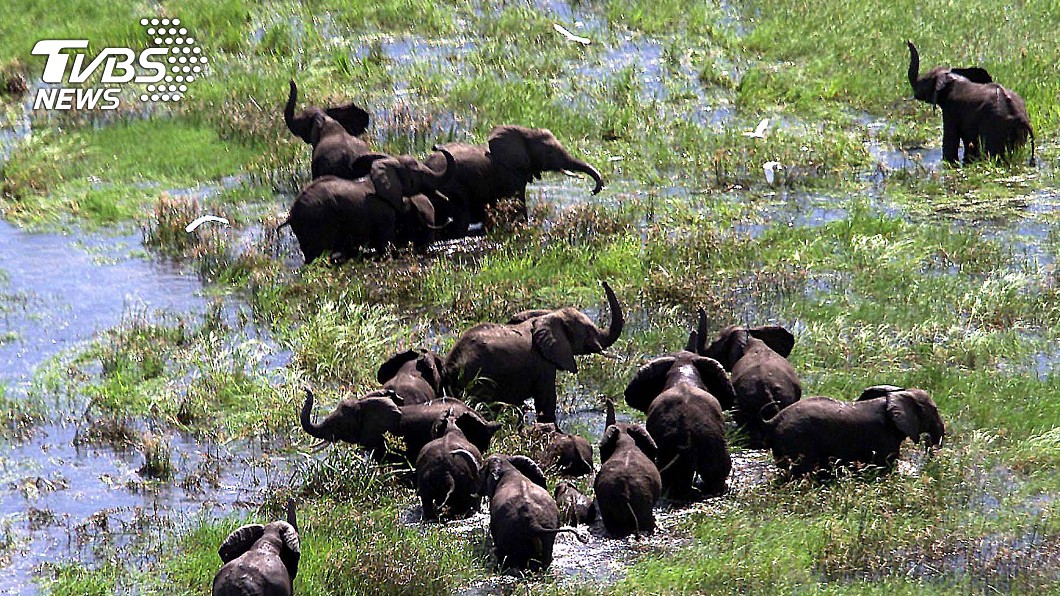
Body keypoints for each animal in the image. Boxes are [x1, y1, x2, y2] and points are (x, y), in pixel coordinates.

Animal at [277, 148, 454, 264]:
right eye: (419, 175)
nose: (435, 146)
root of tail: (291, 214)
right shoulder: (383, 212)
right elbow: (385, 244)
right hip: (315, 223)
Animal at [424, 125, 605, 238]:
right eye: (550, 153)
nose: (593, 190)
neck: (525, 132)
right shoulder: (511, 174)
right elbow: (517, 204)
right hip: (451, 189)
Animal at [443, 281, 624, 424]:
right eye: (589, 331)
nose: (603, 282)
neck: (551, 315)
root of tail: (452, 363)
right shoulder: (543, 364)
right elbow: (546, 403)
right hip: (478, 379)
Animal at [761, 385, 945, 477]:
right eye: (934, 410)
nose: (928, 442)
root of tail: (773, 420)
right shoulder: (884, 439)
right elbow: (886, 466)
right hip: (797, 440)